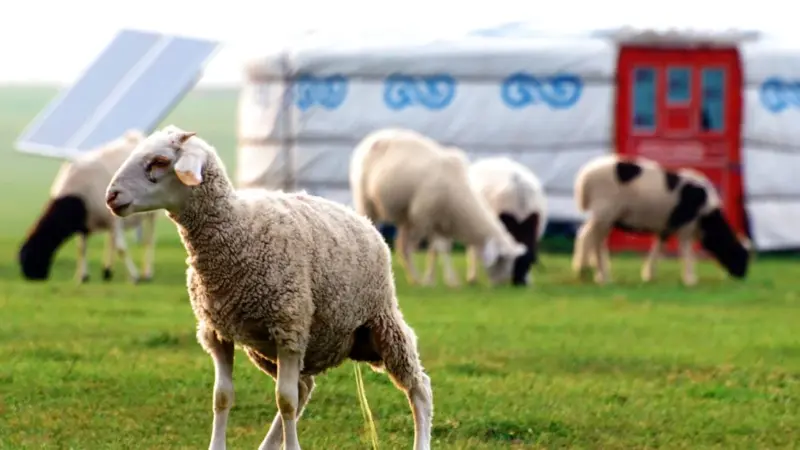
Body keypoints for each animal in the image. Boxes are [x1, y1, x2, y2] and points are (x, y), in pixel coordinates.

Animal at [18, 130, 157, 283]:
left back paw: (147, 273)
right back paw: (107, 271)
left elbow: (121, 248)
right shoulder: (85, 224)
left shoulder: (112, 220)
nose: (35, 277)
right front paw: (82, 276)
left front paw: (135, 276)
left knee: (148, 240)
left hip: (151, 213)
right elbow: (81, 248)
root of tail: (135, 136)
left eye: (33, 256)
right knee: (111, 239)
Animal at [104, 125, 434, 450]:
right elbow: (222, 397)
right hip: (266, 348)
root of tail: (359, 216)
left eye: (159, 161)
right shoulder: (218, 334)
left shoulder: (289, 328)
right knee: (304, 385)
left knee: (419, 389)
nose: (111, 196)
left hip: (382, 321)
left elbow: (285, 400)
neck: (237, 230)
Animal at [349, 128, 526, 287]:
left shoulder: (441, 221)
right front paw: (450, 281)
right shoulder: (425, 218)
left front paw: (431, 279)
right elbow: (438, 249)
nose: (502, 285)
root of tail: (373, 136)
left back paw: (412, 278)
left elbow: (436, 250)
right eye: (502, 260)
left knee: (401, 246)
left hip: (405, 216)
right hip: (366, 201)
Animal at [572, 154, 751, 286]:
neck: (708, 218)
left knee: (586, 235)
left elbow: (658, 248)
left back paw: (588, 271)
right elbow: (687, 252)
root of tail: (584, 177)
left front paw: (649, 275)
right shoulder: (686, 227)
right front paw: (690, 279)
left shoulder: (666, 227)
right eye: (740, 254)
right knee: (593, 240)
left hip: (603, 215)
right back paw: (598, 275)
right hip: (605, 212)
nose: (742, 276)